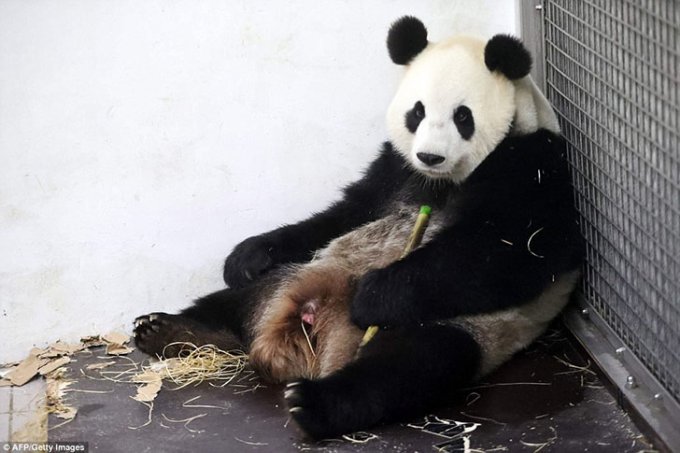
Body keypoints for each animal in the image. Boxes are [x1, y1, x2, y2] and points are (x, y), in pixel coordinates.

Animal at [133, 16, 584, 438]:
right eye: (417, 112)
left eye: (462, 116)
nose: (430, 156)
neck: (442, 180)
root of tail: (317, 344)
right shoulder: (394, 168)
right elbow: (346, 213)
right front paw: (247, 255)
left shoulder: (530, 167)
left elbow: (508, 253)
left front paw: (373, 293)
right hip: (293, 274)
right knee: (232, 303)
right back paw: (170, 330)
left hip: (462, 328)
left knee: (407, 366)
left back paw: (313, 404)